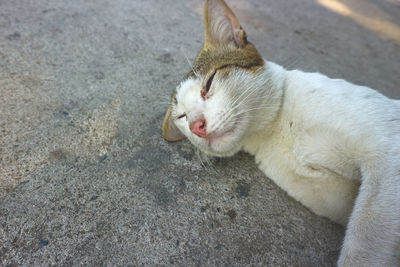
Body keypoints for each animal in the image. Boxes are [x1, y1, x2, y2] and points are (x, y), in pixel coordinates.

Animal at [162, 0, 400, 266]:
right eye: (182, 117)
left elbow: (364, 244)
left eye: (209, 83)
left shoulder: (387, 151)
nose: (196, 126)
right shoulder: (335, 198)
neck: (275, 131)